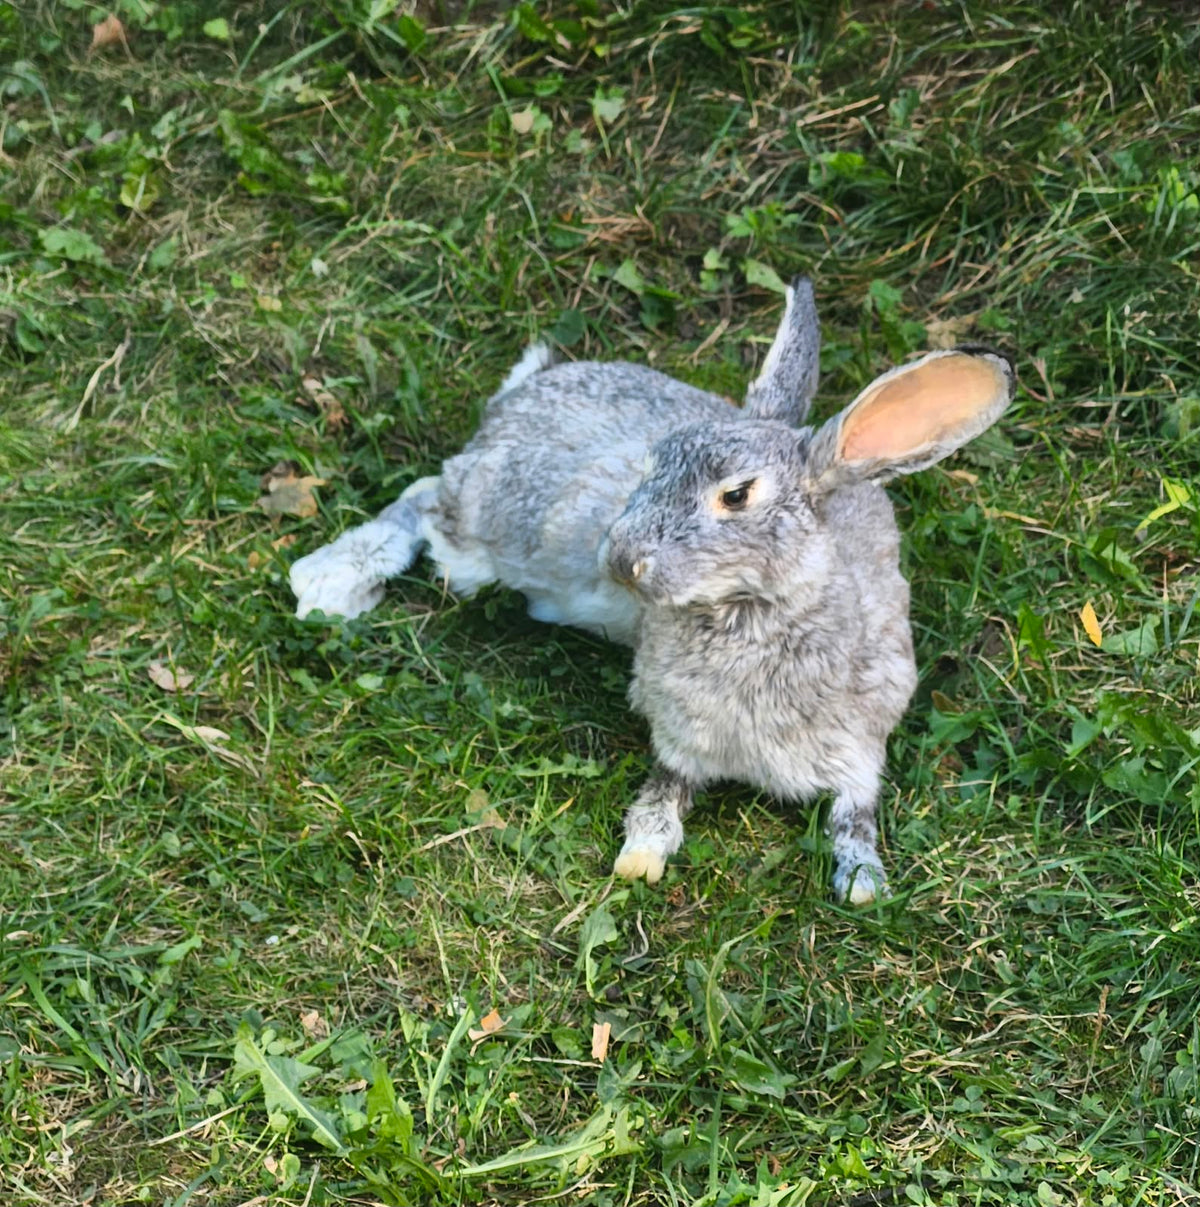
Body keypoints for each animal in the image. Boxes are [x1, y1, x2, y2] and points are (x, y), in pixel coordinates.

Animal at [289, 279, 1014, 903]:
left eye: (737, 495)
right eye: (657, 461)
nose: (620, 558)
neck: (750, 610)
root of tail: (517, 397)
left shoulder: (860, 751)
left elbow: (853, 818)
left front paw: (863, 885)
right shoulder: (680, 738)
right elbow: (663, 792)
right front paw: (639, 860)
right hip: (485, 536)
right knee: (423, 500)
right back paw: (329, 584)